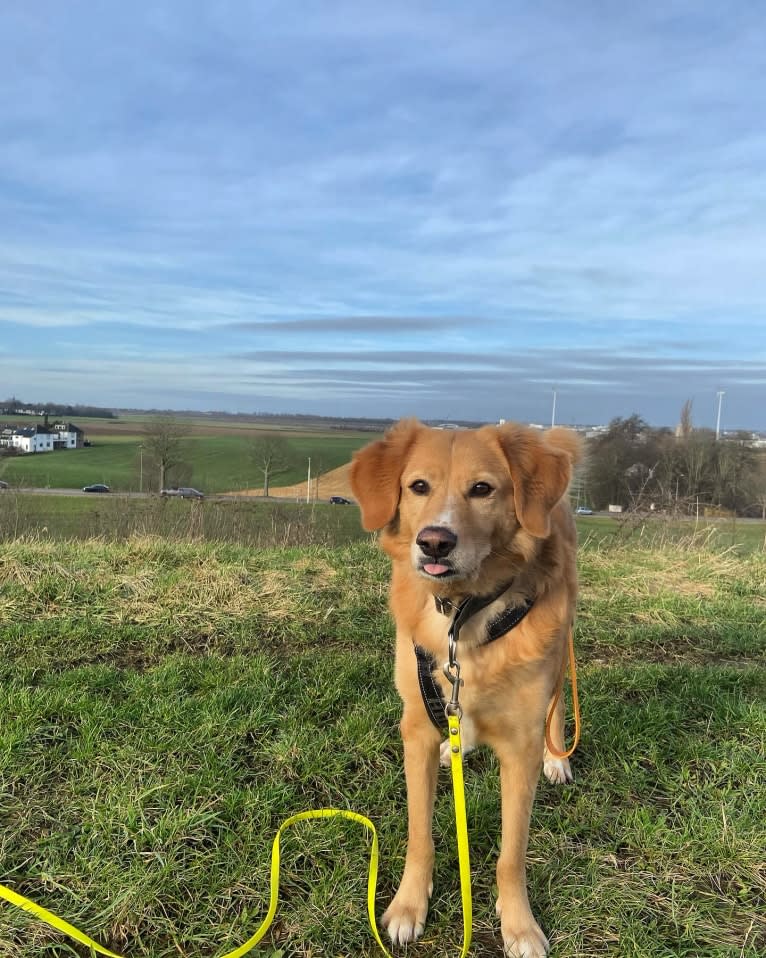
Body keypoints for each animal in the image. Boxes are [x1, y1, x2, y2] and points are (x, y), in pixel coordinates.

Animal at [352, 420, 584, 958]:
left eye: (482, 489)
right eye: (418, 486)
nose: (434, 542)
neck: (463, 614)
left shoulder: (520, 746)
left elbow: (511, 852)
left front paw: (519, 925)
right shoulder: (416, 728)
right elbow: (419, 832)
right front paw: (408, 906)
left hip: (561, 643)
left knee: (559, 701)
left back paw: (557, 757)